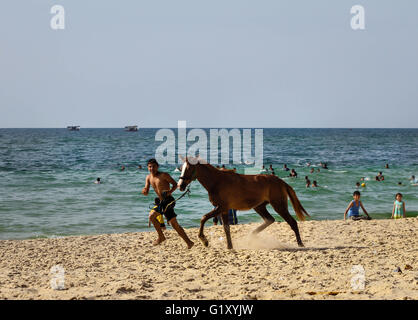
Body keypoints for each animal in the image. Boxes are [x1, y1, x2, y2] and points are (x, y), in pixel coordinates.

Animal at [177, 158, 310, 250]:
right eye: (181, 168)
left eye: (188, 168)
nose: (180, 186)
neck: (217, 181)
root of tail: (281, 181)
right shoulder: (223, 209)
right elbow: (226, 228)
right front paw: (229, 246)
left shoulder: (222, 207)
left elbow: (203, 218)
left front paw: (204, 240)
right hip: (259, 206)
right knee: (270, 219)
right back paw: (251, 236)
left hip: (279, 206)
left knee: (292, 222)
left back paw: (300, 244)